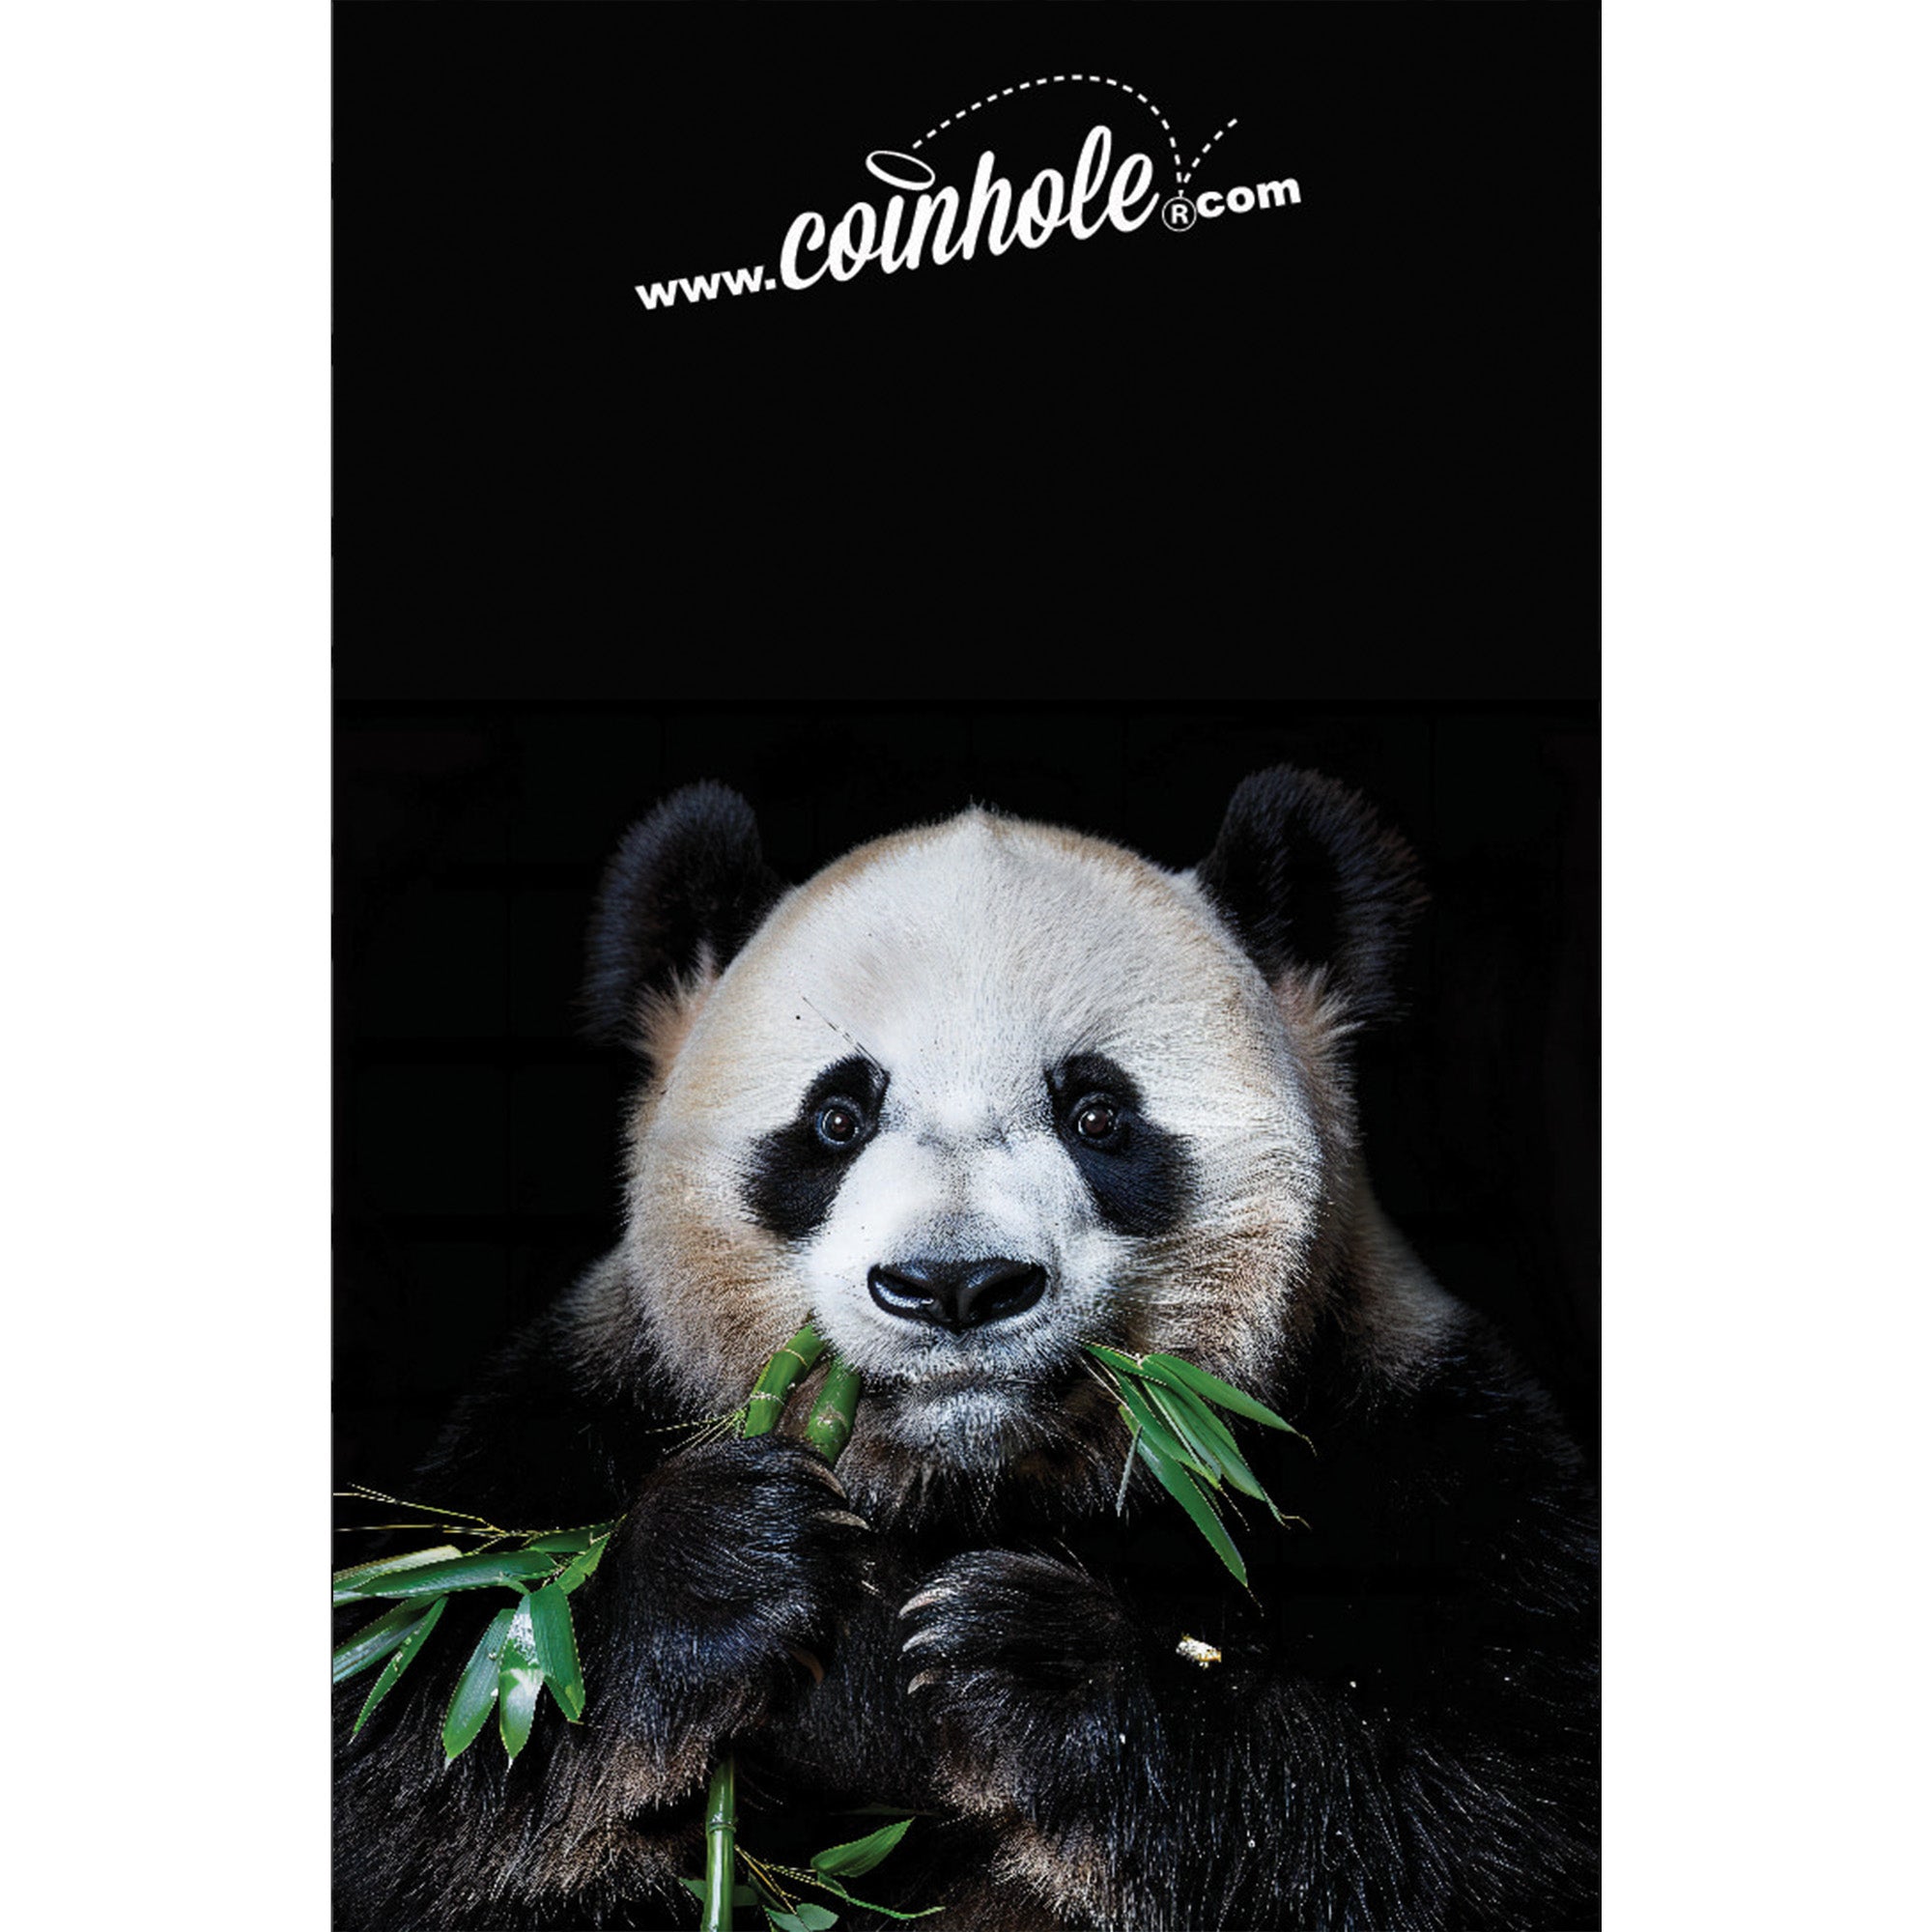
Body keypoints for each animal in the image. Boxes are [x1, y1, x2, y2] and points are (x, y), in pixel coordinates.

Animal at [335, 767, 1599, 1932]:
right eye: (837, 1117)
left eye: (1096, 1113)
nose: (953, 1284)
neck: (966, 1490)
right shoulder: (574, 1417)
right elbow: (426, 1733)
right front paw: (729, 1559)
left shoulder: (1413, 1446)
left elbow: (1487, 1805)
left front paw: (1029, 1665)